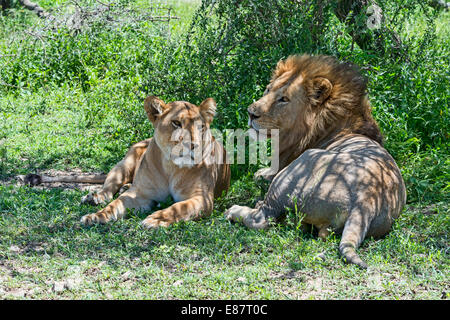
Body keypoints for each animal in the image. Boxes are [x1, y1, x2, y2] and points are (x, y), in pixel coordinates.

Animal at [26, 96, 230, 229]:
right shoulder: (139, 194)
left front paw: (156, 219)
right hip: (123, 166)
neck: (171, 167)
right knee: (109, 189)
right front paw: (96, 217)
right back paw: (95, 198)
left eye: (200, 127)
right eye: (176, 123)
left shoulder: (202, 198)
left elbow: (177, 208)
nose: (193, 145)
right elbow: (115, 205)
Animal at [227, 54, 406, 268]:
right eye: (268, 90)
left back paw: (237, 210)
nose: (251, 113)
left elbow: (258, 177)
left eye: (284, 99)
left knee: (263, 218)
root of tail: (366, 201)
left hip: (300, 166)